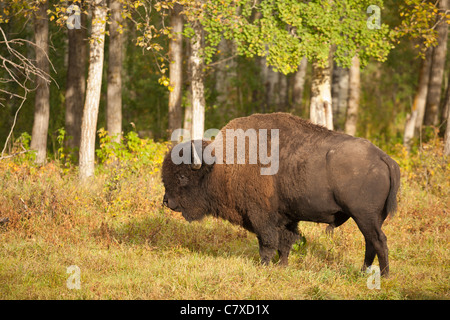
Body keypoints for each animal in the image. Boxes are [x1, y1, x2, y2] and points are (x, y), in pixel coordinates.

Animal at [162, 113, 400, 278]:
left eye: (182, 177)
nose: (167, 202)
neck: (219, 166)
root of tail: (384, 158)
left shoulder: (261, 216)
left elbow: (267, 242)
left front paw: (264, 266)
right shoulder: (286, 217)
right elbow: (285, 242)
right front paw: (282, 266)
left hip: (364, 216)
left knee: (379, 241)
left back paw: (384, 276)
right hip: (371, 218)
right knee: (371, 243)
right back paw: (363, 272)